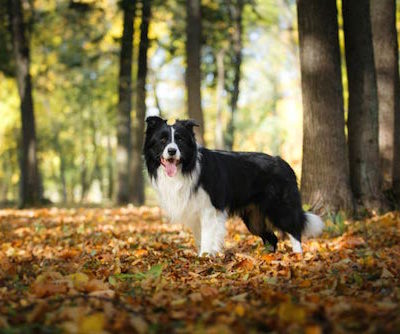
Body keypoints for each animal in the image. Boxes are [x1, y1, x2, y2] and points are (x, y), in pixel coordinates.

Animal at [142, 116, 324, 254]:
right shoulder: (194, 211)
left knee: (294, 230)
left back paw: (297, 256)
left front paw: (205, 258)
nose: (172, 151)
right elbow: (200, 238)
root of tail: (283, 162)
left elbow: (207, 238)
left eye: (179, 139)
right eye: (163, 140)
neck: (187, 168)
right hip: (254, 219)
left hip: (279, 207)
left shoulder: (209, 210)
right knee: (272, 238)